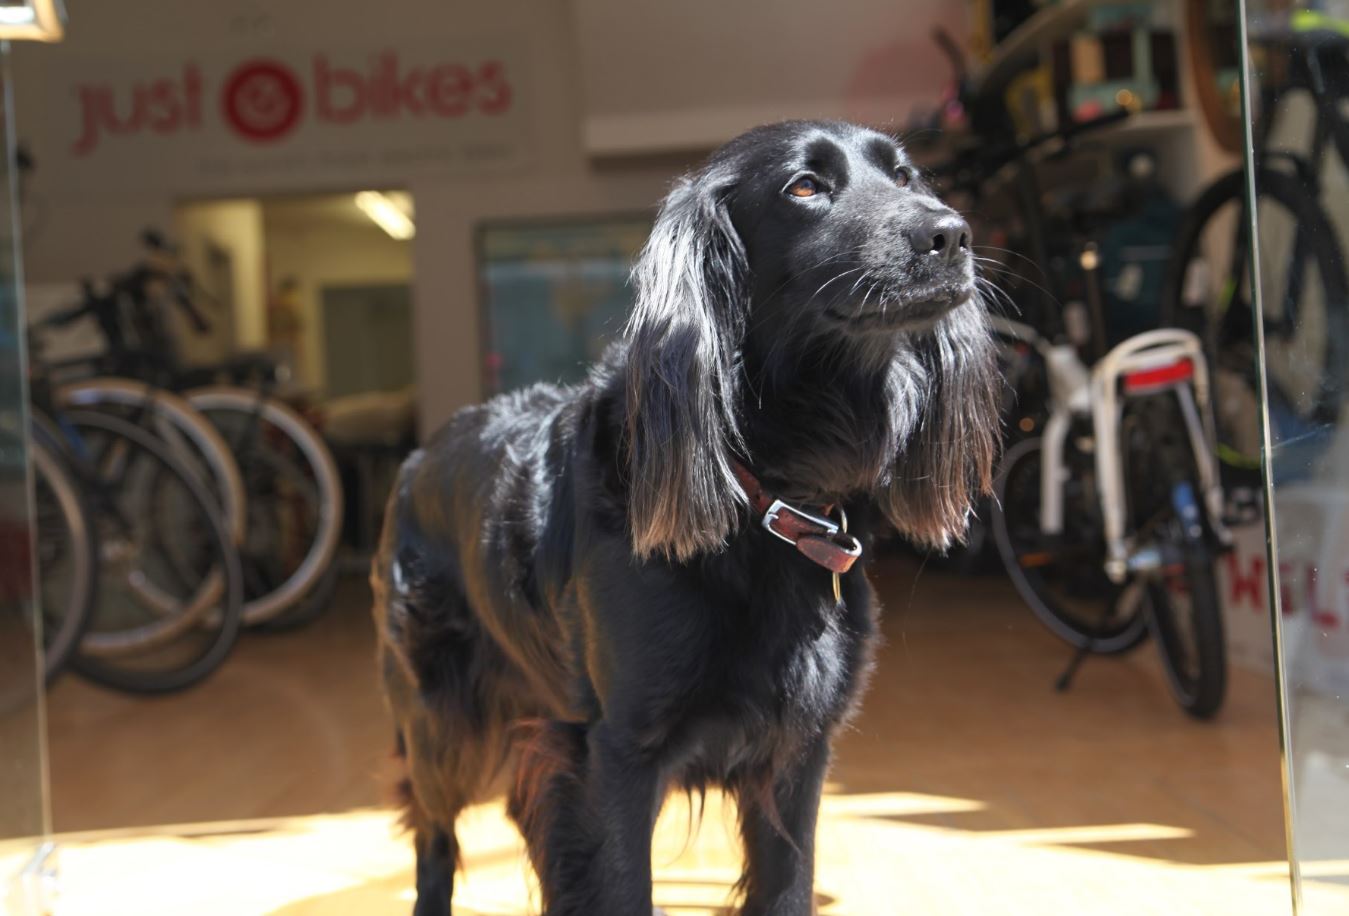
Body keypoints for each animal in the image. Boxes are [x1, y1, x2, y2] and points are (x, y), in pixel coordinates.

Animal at [375, 122, 998, 916]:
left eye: (906, 176)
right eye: (804, 187)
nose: (952, 234)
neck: (764, 501)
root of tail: (418, 457)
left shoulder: (796, 752)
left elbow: (786, 887)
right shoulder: (618, 754)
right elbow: (618, 884)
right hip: (439, 719)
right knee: (435, 833)